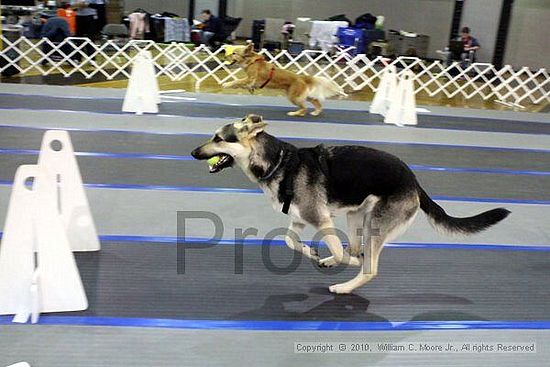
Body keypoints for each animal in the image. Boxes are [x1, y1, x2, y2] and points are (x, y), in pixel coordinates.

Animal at [193, 116, 512, 294]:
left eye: (218, 138)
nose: (194, 152)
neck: (278, 163)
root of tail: (414, 181)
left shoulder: (321, 220)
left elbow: (337, 250)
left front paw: (339, 261)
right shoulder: (299, 219)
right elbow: (289, 241)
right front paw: (312, 251)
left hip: (374, 226)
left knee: (368, 266)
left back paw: (344, 286)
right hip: (356, 217)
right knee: (356, 248)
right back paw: (335, 260)